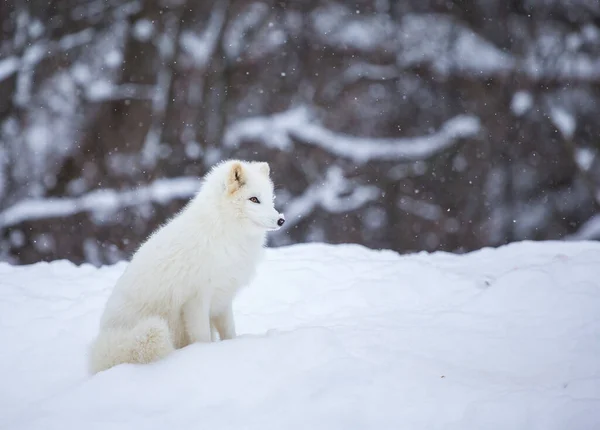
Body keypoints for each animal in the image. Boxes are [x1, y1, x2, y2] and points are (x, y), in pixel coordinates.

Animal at [88, 160, 284, 374]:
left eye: (270, 199)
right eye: (254, 199)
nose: (281, 220)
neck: (223, 233)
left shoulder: (223, 298)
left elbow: (229, 332)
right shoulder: (196, 300)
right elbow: (203, 337)